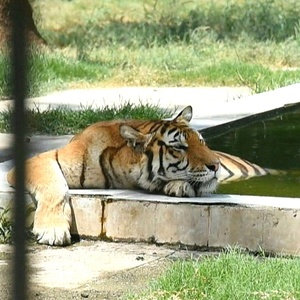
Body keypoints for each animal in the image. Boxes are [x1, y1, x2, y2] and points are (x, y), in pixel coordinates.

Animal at [5, 105, 276, 246]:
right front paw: (52, 230)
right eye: (180, 147)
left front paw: (178, 186)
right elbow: (54, 186)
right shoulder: (39, 160)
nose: (216, 165)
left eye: (202, 142)